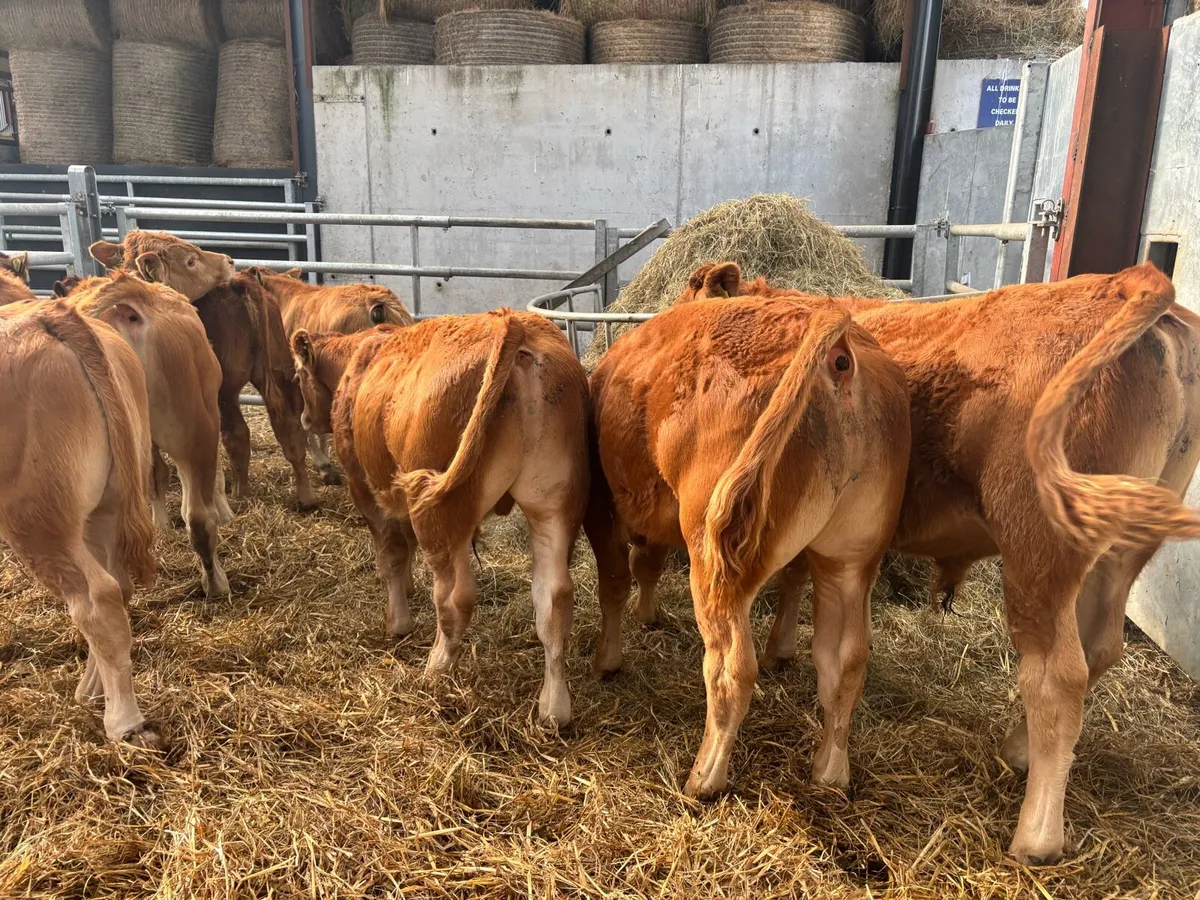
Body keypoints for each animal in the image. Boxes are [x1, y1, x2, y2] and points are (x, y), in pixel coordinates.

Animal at [0, 298, 161, 748]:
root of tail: (51, 314)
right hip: (103, 507)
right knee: (117, 587)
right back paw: (92, 691)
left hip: (37, 518)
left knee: (97, 598)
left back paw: (124, 723)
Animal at [193, 271, 317, 511]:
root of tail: (241, 283)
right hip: (280, 374)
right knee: (290, 430)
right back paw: (306, 497)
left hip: (225, 391)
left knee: (236, 433)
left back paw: (238, 494)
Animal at [290, 310, 590, 726]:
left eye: (297, 378)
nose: (304, 418)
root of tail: (512, 324)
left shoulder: (366, 488)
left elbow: (391, 554)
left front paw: (397, 621)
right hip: (554, 507)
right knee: (554, 599)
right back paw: (554, 708)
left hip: (440, 514)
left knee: (455, 597)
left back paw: (436, 667)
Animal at [586, 294, 911, 801]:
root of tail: (839, 353)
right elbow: (648, 565)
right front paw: (648, 615)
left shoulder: (602, 503)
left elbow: (616, 582)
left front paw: (608, 661)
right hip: (849, 560)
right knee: (846, 661)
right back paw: (830, 773)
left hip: (716, 563)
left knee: (731, 668)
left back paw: (703, 778)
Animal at [672, 260, 1200, 864]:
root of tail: (1129, 283)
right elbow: (796, 577)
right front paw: (782, 647)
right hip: (1121, 553)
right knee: (1099, 650)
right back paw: (1020, 751)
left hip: (1039, 553)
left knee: (1058, 677)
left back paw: (1036, 836)